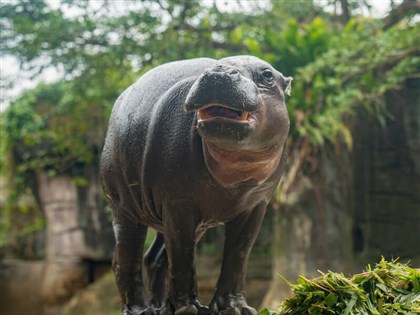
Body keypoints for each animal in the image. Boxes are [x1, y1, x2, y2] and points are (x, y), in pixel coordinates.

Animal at [101, 55, 292, 314]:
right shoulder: (178, 202)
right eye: (213, 66)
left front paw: (236, 309)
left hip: (183, 220)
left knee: (155, 258)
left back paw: (162, 308)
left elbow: (238, 255)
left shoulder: (256, 204)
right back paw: (143, 310)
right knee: (125, 258)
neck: (238, 171)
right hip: (123, 207)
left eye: (267, 75)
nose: (219, 72)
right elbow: (183, 256)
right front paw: (189, 309)